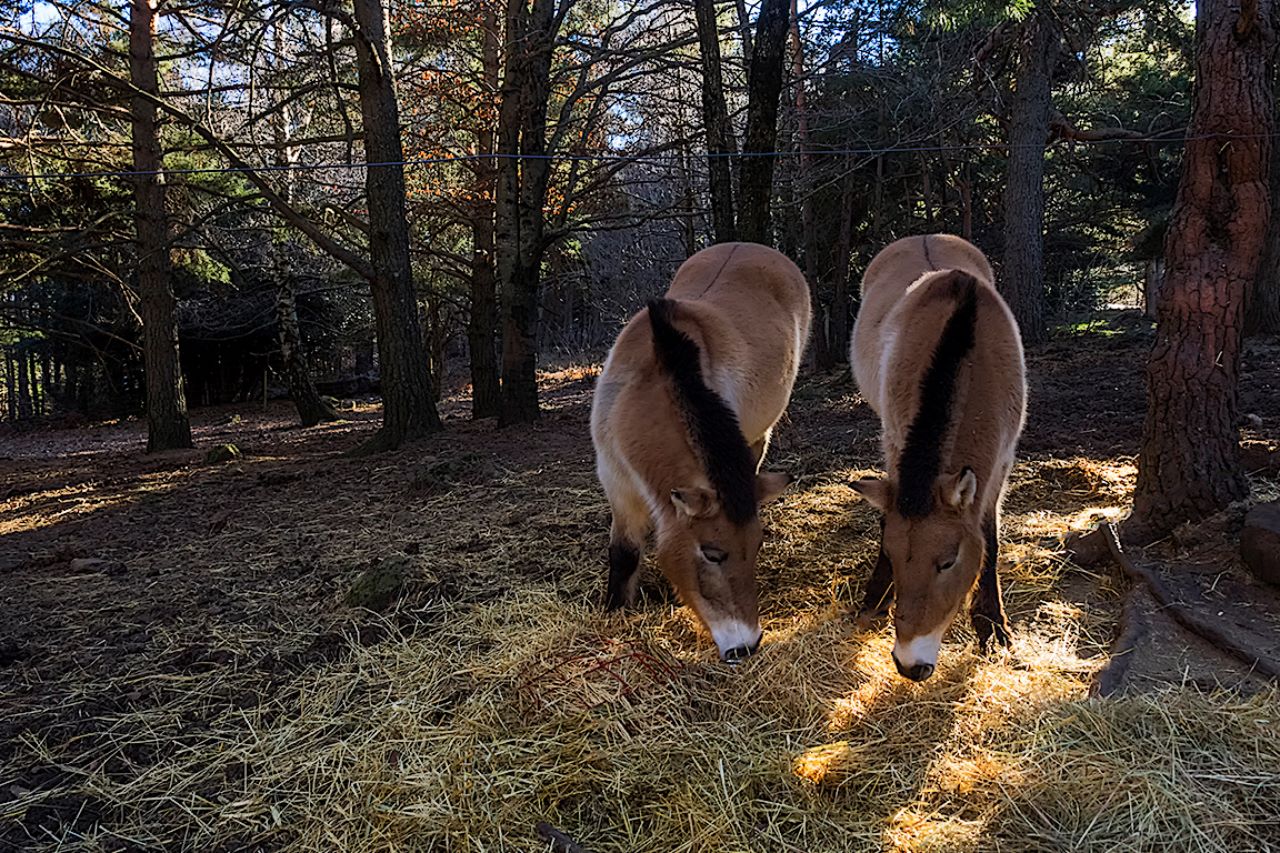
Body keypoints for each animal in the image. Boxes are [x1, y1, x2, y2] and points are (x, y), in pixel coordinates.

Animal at [848, 234, 1026, 681]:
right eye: (893, 556)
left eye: (948, 562)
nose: (910, 664)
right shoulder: (895, 443)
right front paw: (874, 598)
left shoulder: (1001, 463)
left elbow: (990, 537)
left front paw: (991, 624)